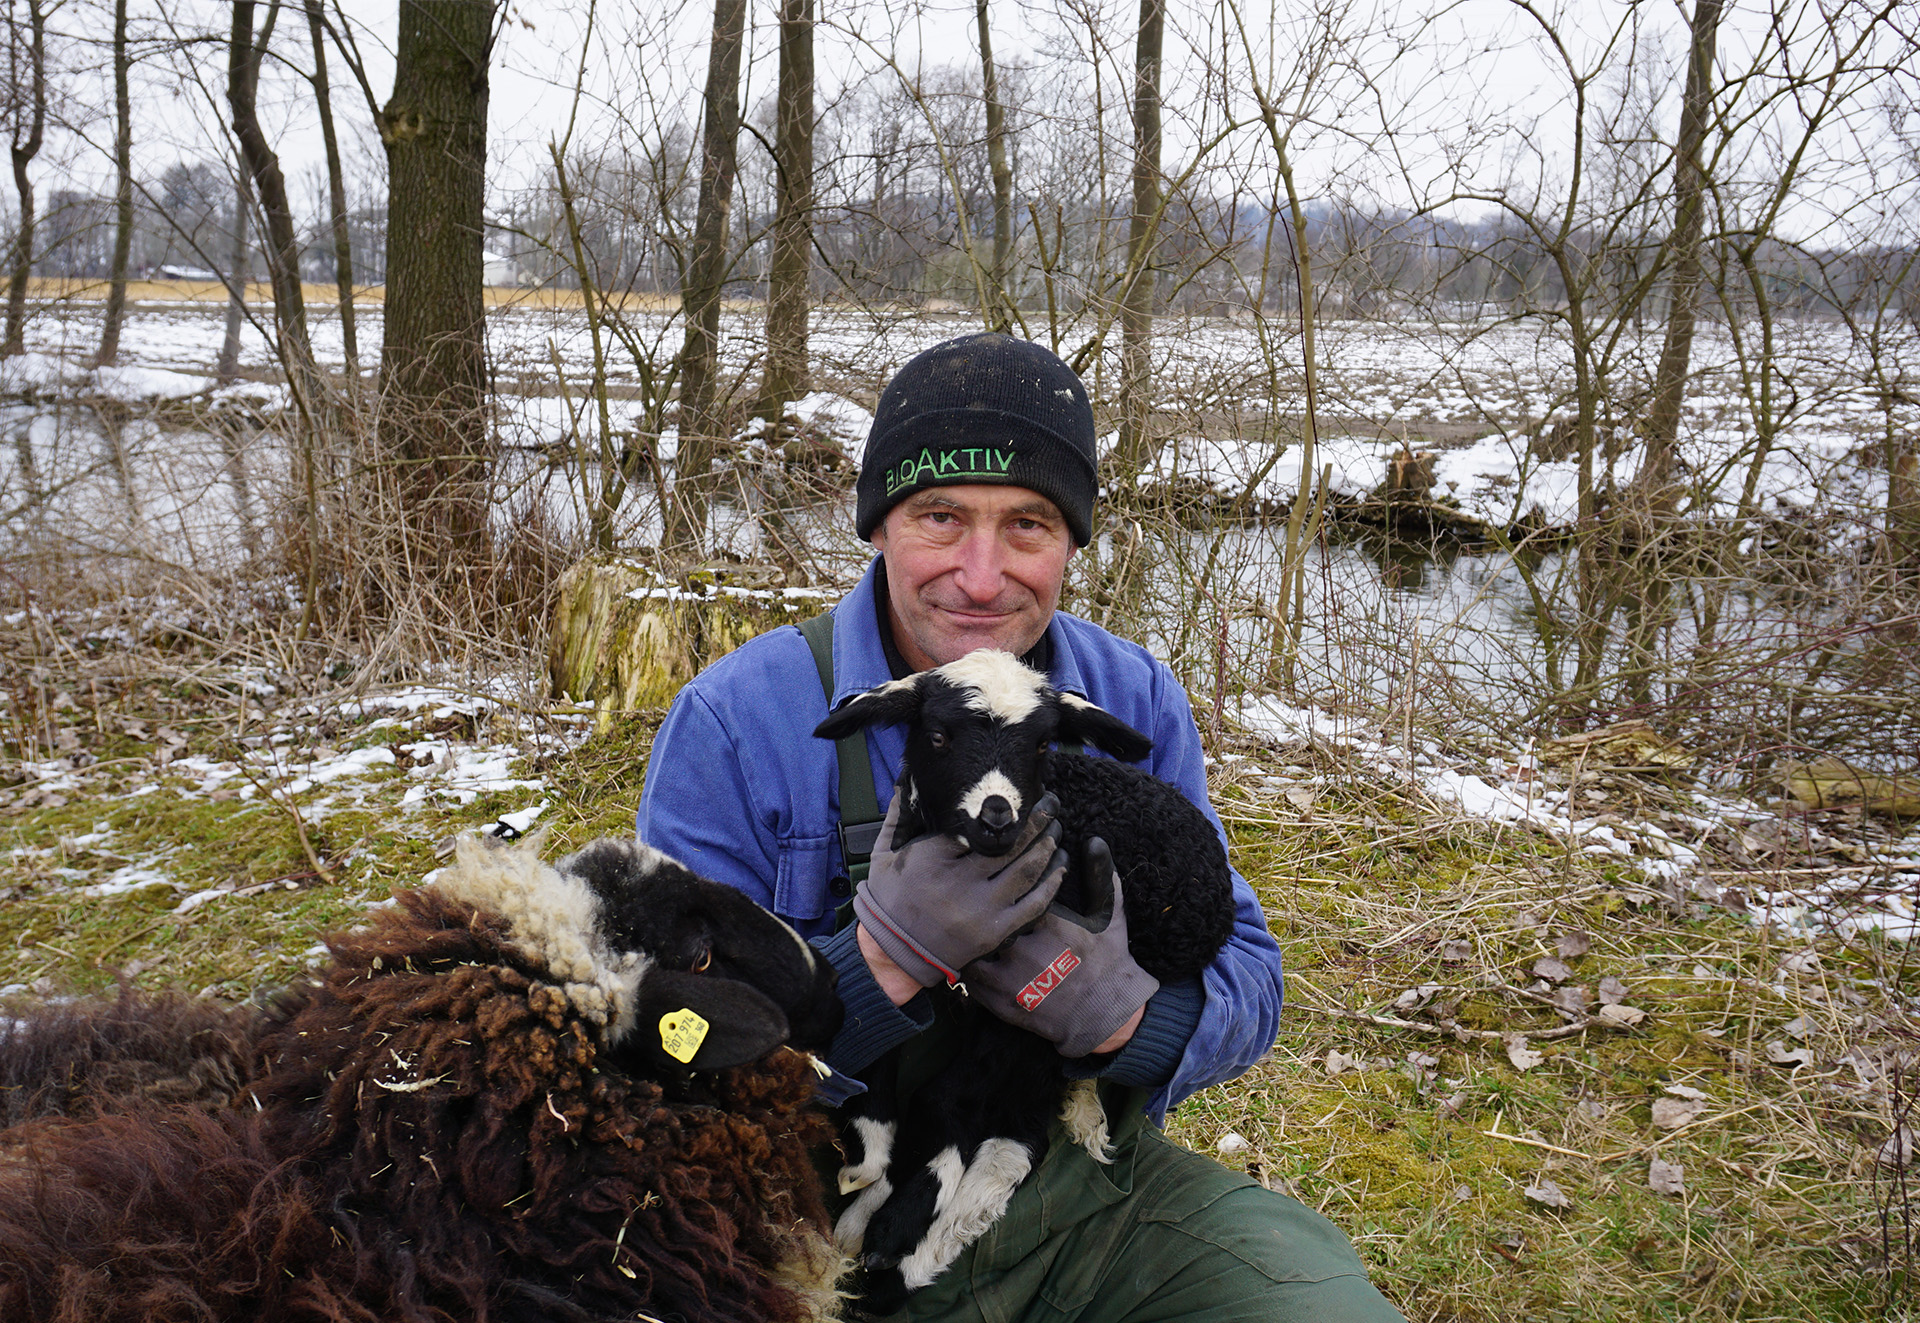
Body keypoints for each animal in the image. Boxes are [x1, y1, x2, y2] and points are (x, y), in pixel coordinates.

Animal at [806, 645, 1228, 1305]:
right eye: (938, 734)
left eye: (1040, 745)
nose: (997, 815)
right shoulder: (901, 951)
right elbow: (871, 1034)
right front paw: (866, 1162)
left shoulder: (1008, 1014)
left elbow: (942, 1099)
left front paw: (895, 1216)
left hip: (1042, 1025)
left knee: (1009, 1129)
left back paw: (902, 1249)